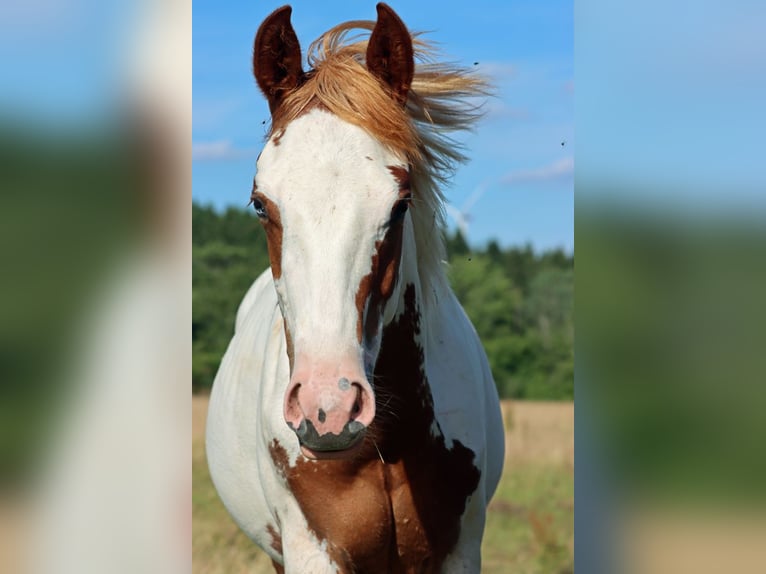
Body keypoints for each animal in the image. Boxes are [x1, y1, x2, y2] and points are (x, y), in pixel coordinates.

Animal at [206, 4, 505, 572]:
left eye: (400, 203)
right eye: (260, 203)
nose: (330, 409)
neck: (384, 446)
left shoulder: (459, 551)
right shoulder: (312, 551)